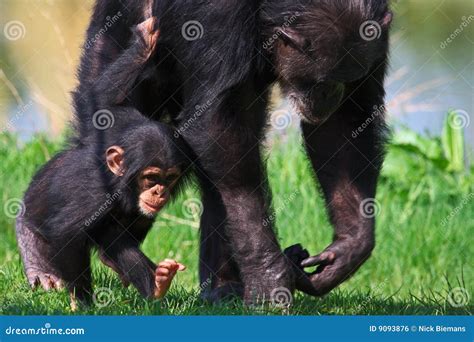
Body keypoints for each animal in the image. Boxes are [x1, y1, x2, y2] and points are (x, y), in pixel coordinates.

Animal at [16, 17, 188, 304]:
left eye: (170, 178)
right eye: (151, 177)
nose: (159, 191)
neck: (119, 184)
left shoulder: (121, 123)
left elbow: (101, 102)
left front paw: (145, 42)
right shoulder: (93, 195)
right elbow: (66, 234)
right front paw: (83, 301)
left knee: (116, 233)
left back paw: (157, 283)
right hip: (27, 230)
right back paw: (43, 273)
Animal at [74, 0, 390, 304]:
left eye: (347, 80)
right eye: (324, 81)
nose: (332, 94)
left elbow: (343, 126)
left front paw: (348, 247)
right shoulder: (218, 14)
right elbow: (216, 127)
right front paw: (269, 276)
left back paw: (223, 288)